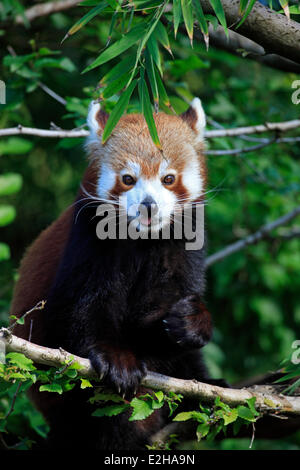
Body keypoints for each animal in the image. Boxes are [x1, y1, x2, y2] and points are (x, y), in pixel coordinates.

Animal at [9, 97, 216, 450]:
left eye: (168, 178)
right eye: (128, 179)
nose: (148, 205)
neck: (144, 242)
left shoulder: (180, 250)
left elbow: (159, 317)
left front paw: (191, 321)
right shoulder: (87, 243)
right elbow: (83, 310)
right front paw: (116, 359)